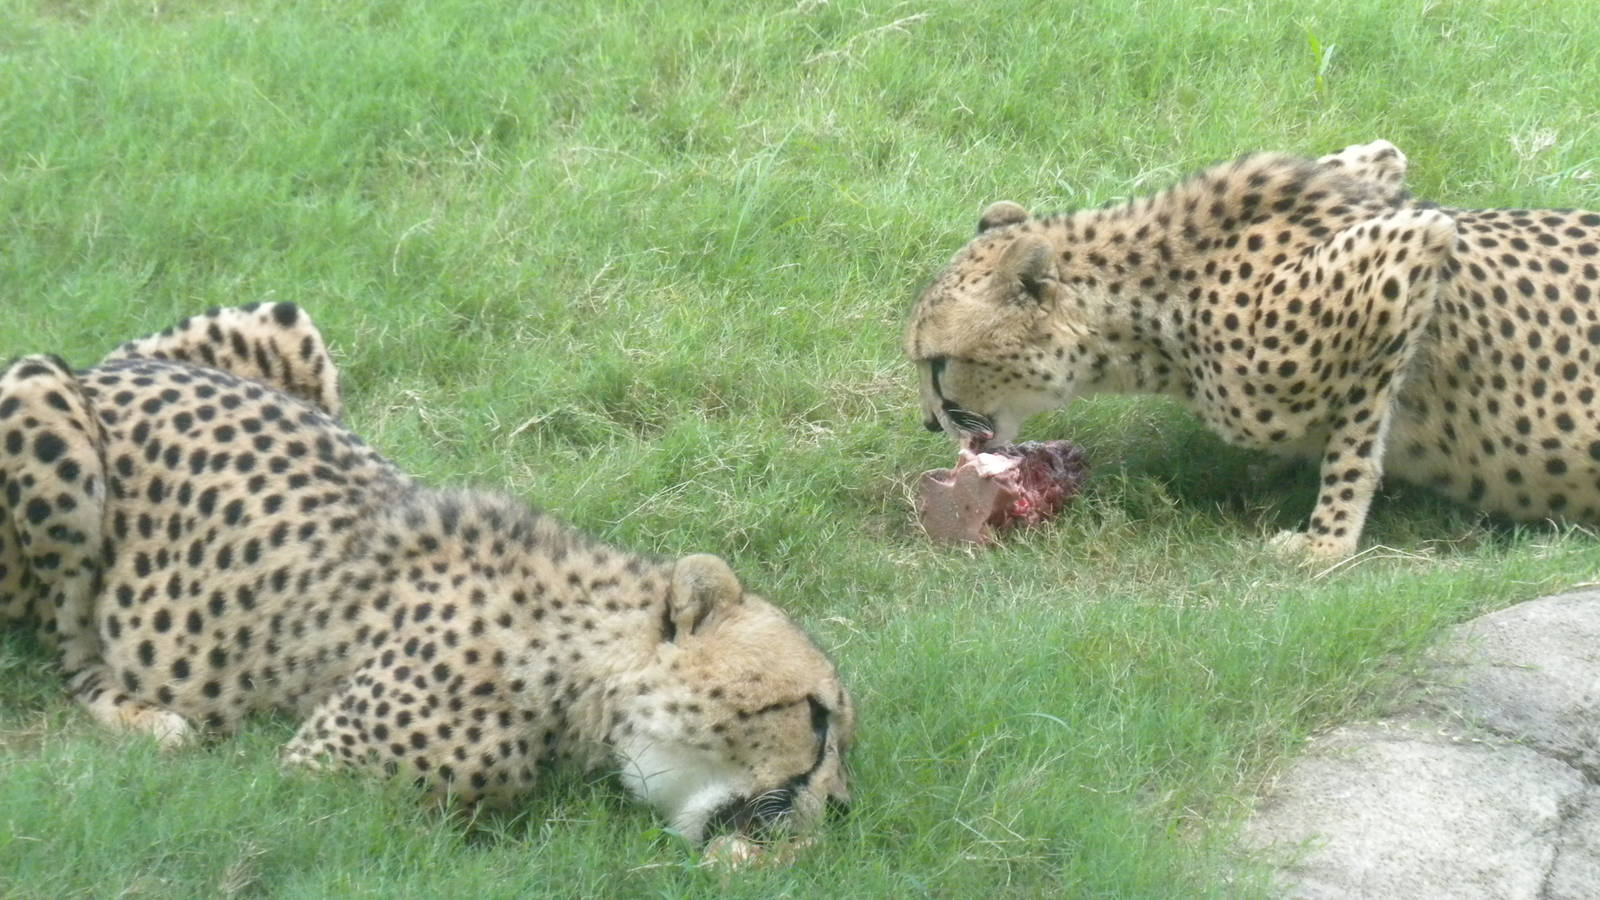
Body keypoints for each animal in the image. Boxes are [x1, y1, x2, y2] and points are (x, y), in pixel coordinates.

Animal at [0, 303, 853, 843]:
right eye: (814, 717)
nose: (843, 808)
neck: (587, 665)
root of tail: (103, 369)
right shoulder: (321, 774)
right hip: (36, 396)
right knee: (68, 644)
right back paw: (147, 719)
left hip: (287, 324)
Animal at [906, 139, 1600, 560]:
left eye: (938, 362)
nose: (929, 422)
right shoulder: (1376, 173)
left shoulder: (1404, 254)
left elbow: (1355, 442)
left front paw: (1326, 545)